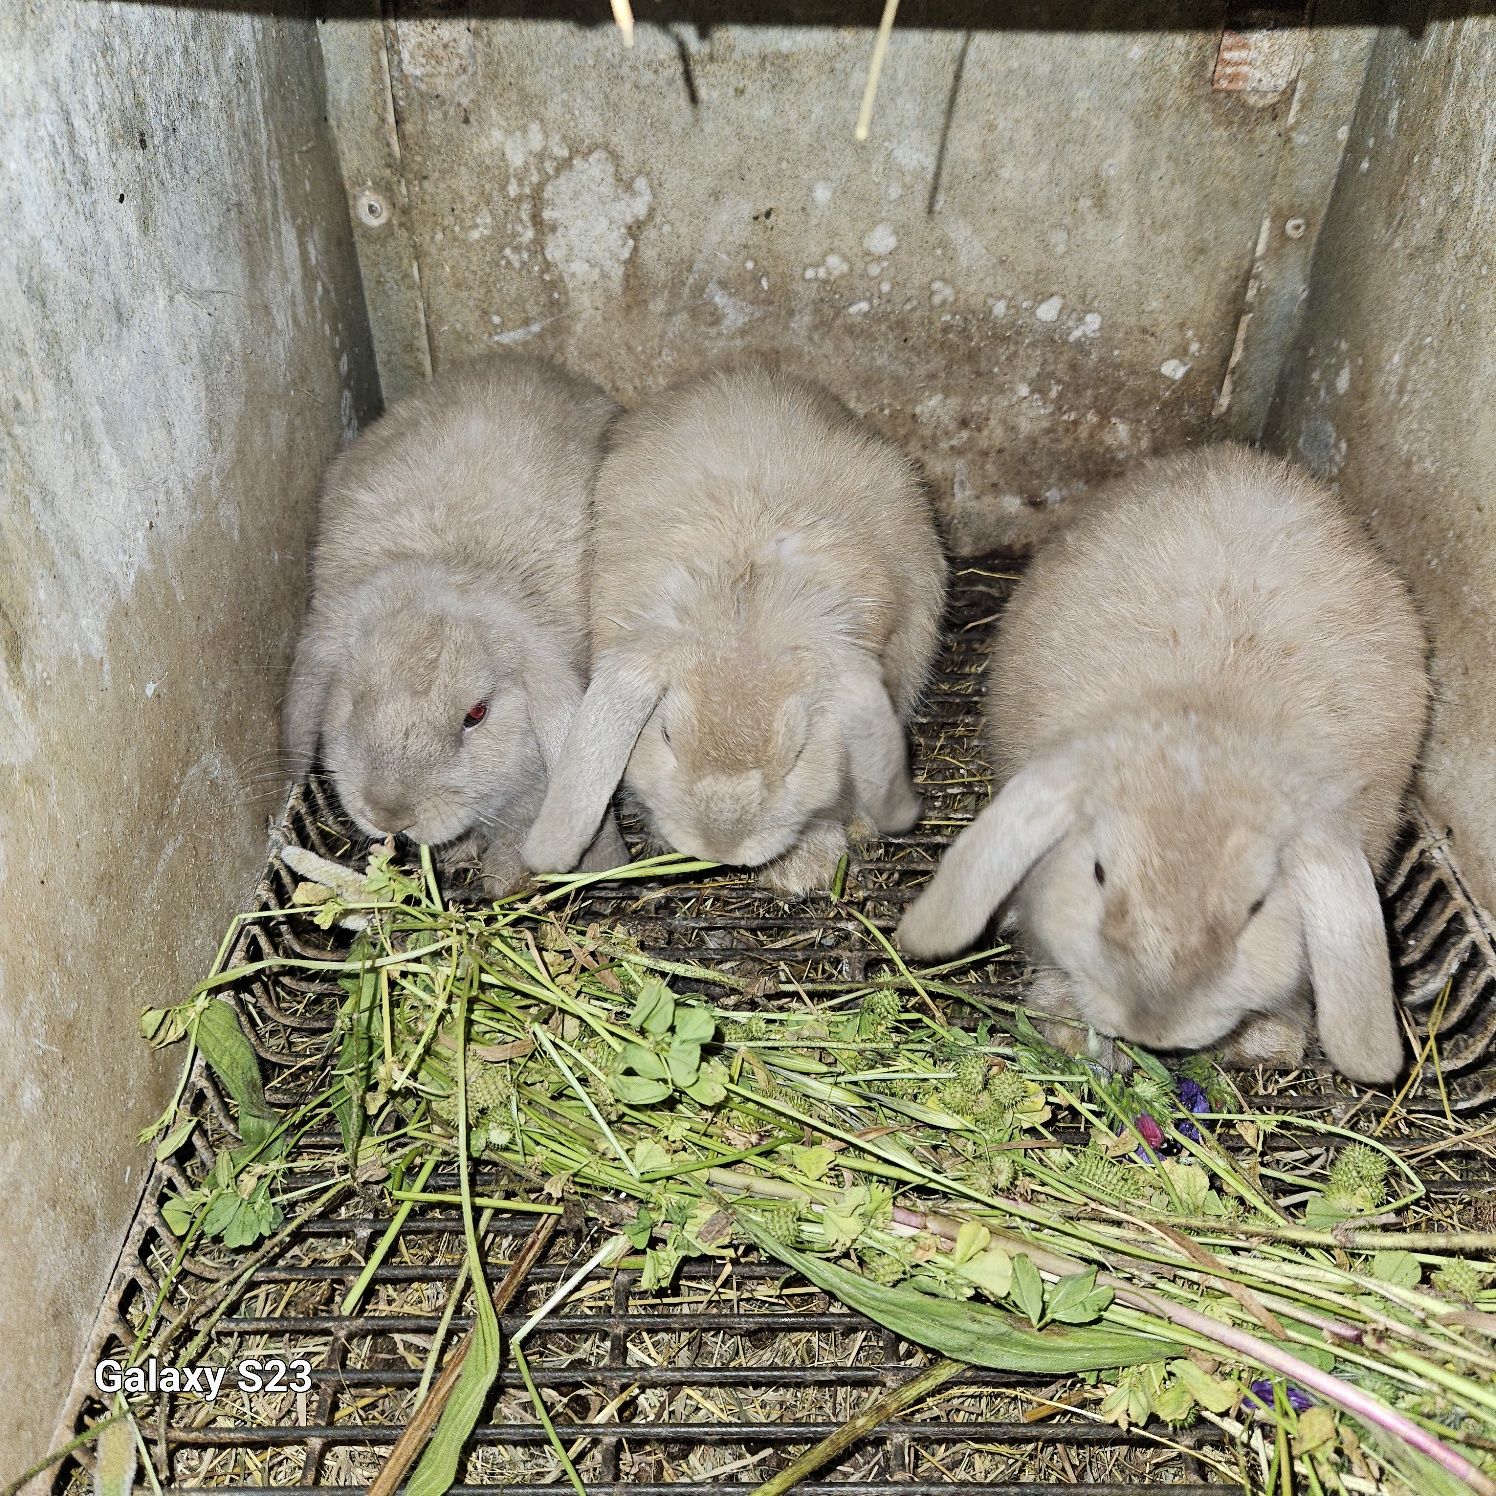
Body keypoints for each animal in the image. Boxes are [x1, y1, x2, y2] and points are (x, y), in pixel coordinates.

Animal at [891, 442, 1430, 1089]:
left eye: (1256, 907)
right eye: (1099, 872)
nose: (1152, 1025)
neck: (1207, 719)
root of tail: (1234, 459)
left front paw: (1266, 1047)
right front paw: (1069, 1031)